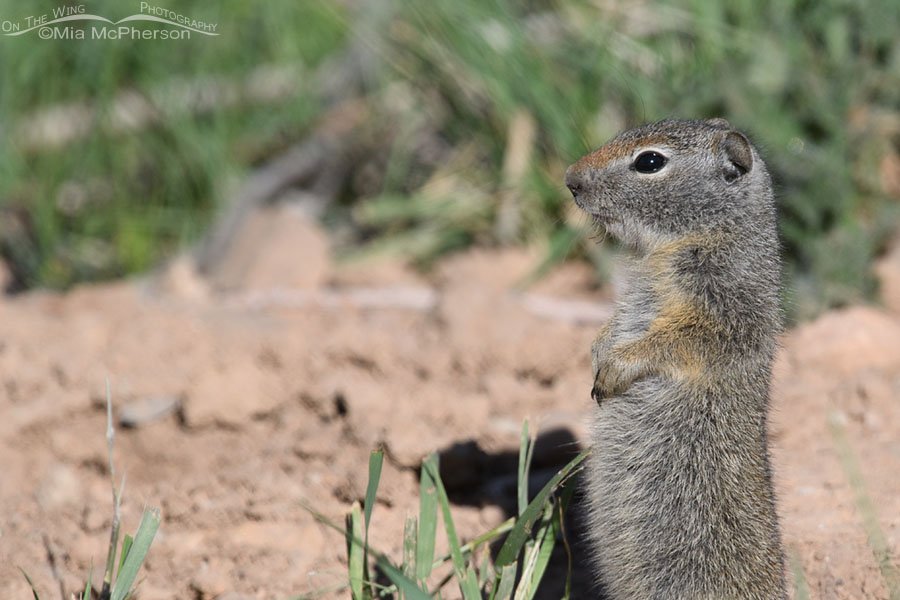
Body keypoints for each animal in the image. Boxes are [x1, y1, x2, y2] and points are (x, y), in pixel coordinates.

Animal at [565, 118, 787, 599]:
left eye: (650, 161)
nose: (570, 179)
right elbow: (615, 325)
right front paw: (598, 352)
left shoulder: (724, 311)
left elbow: (675, 341)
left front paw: (613, 369)